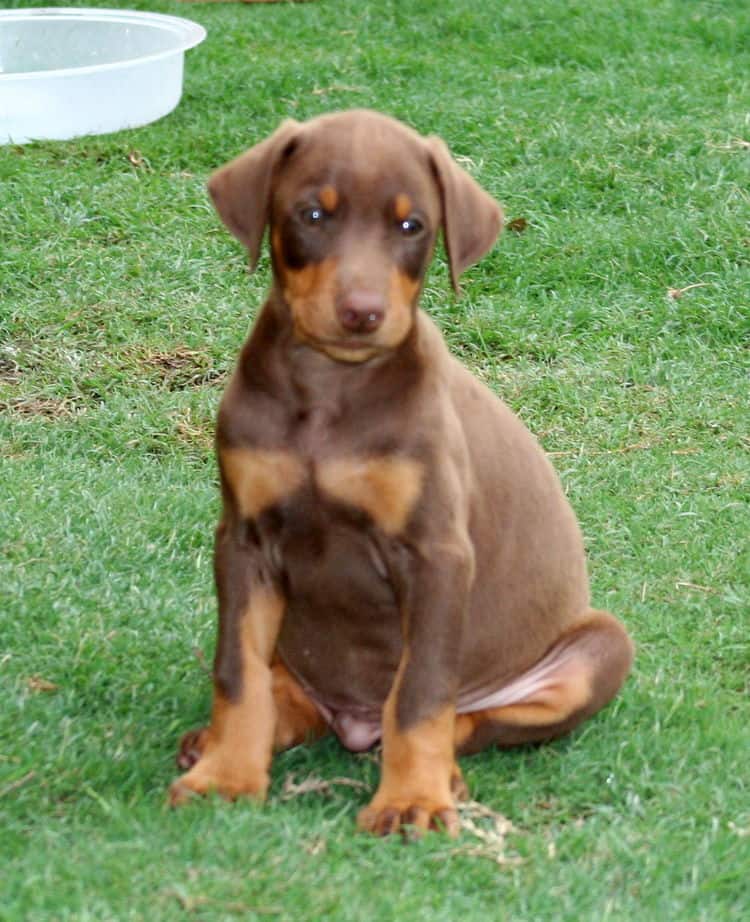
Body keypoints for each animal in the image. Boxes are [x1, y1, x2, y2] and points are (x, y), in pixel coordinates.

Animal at [170, 108, 636, 832]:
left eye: (412, 225)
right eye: (312, 213)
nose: (361, 313)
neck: (331, 387)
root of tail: (352, 724)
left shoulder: (435, 554)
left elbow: (420, 695)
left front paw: (412, 798)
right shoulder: (243, 540)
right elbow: (237, 671)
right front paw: (225, 776)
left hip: (601, 647)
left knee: (466, 722)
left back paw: (443, 772)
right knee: (285, 693)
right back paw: (227, 737)